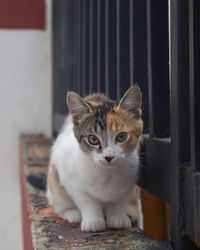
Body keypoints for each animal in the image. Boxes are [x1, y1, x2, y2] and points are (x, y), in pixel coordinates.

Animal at [47, 86, 142, 232]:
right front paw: (93, 220)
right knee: (59, 205)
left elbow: (119, 200)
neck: (106, 173)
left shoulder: (130, 179)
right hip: (54, 185)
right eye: (93, 139)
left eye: (121, 136)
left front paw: (117, 216)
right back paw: (72, 213)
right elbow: (86, 201)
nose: (109, 156)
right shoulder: (70, 179)